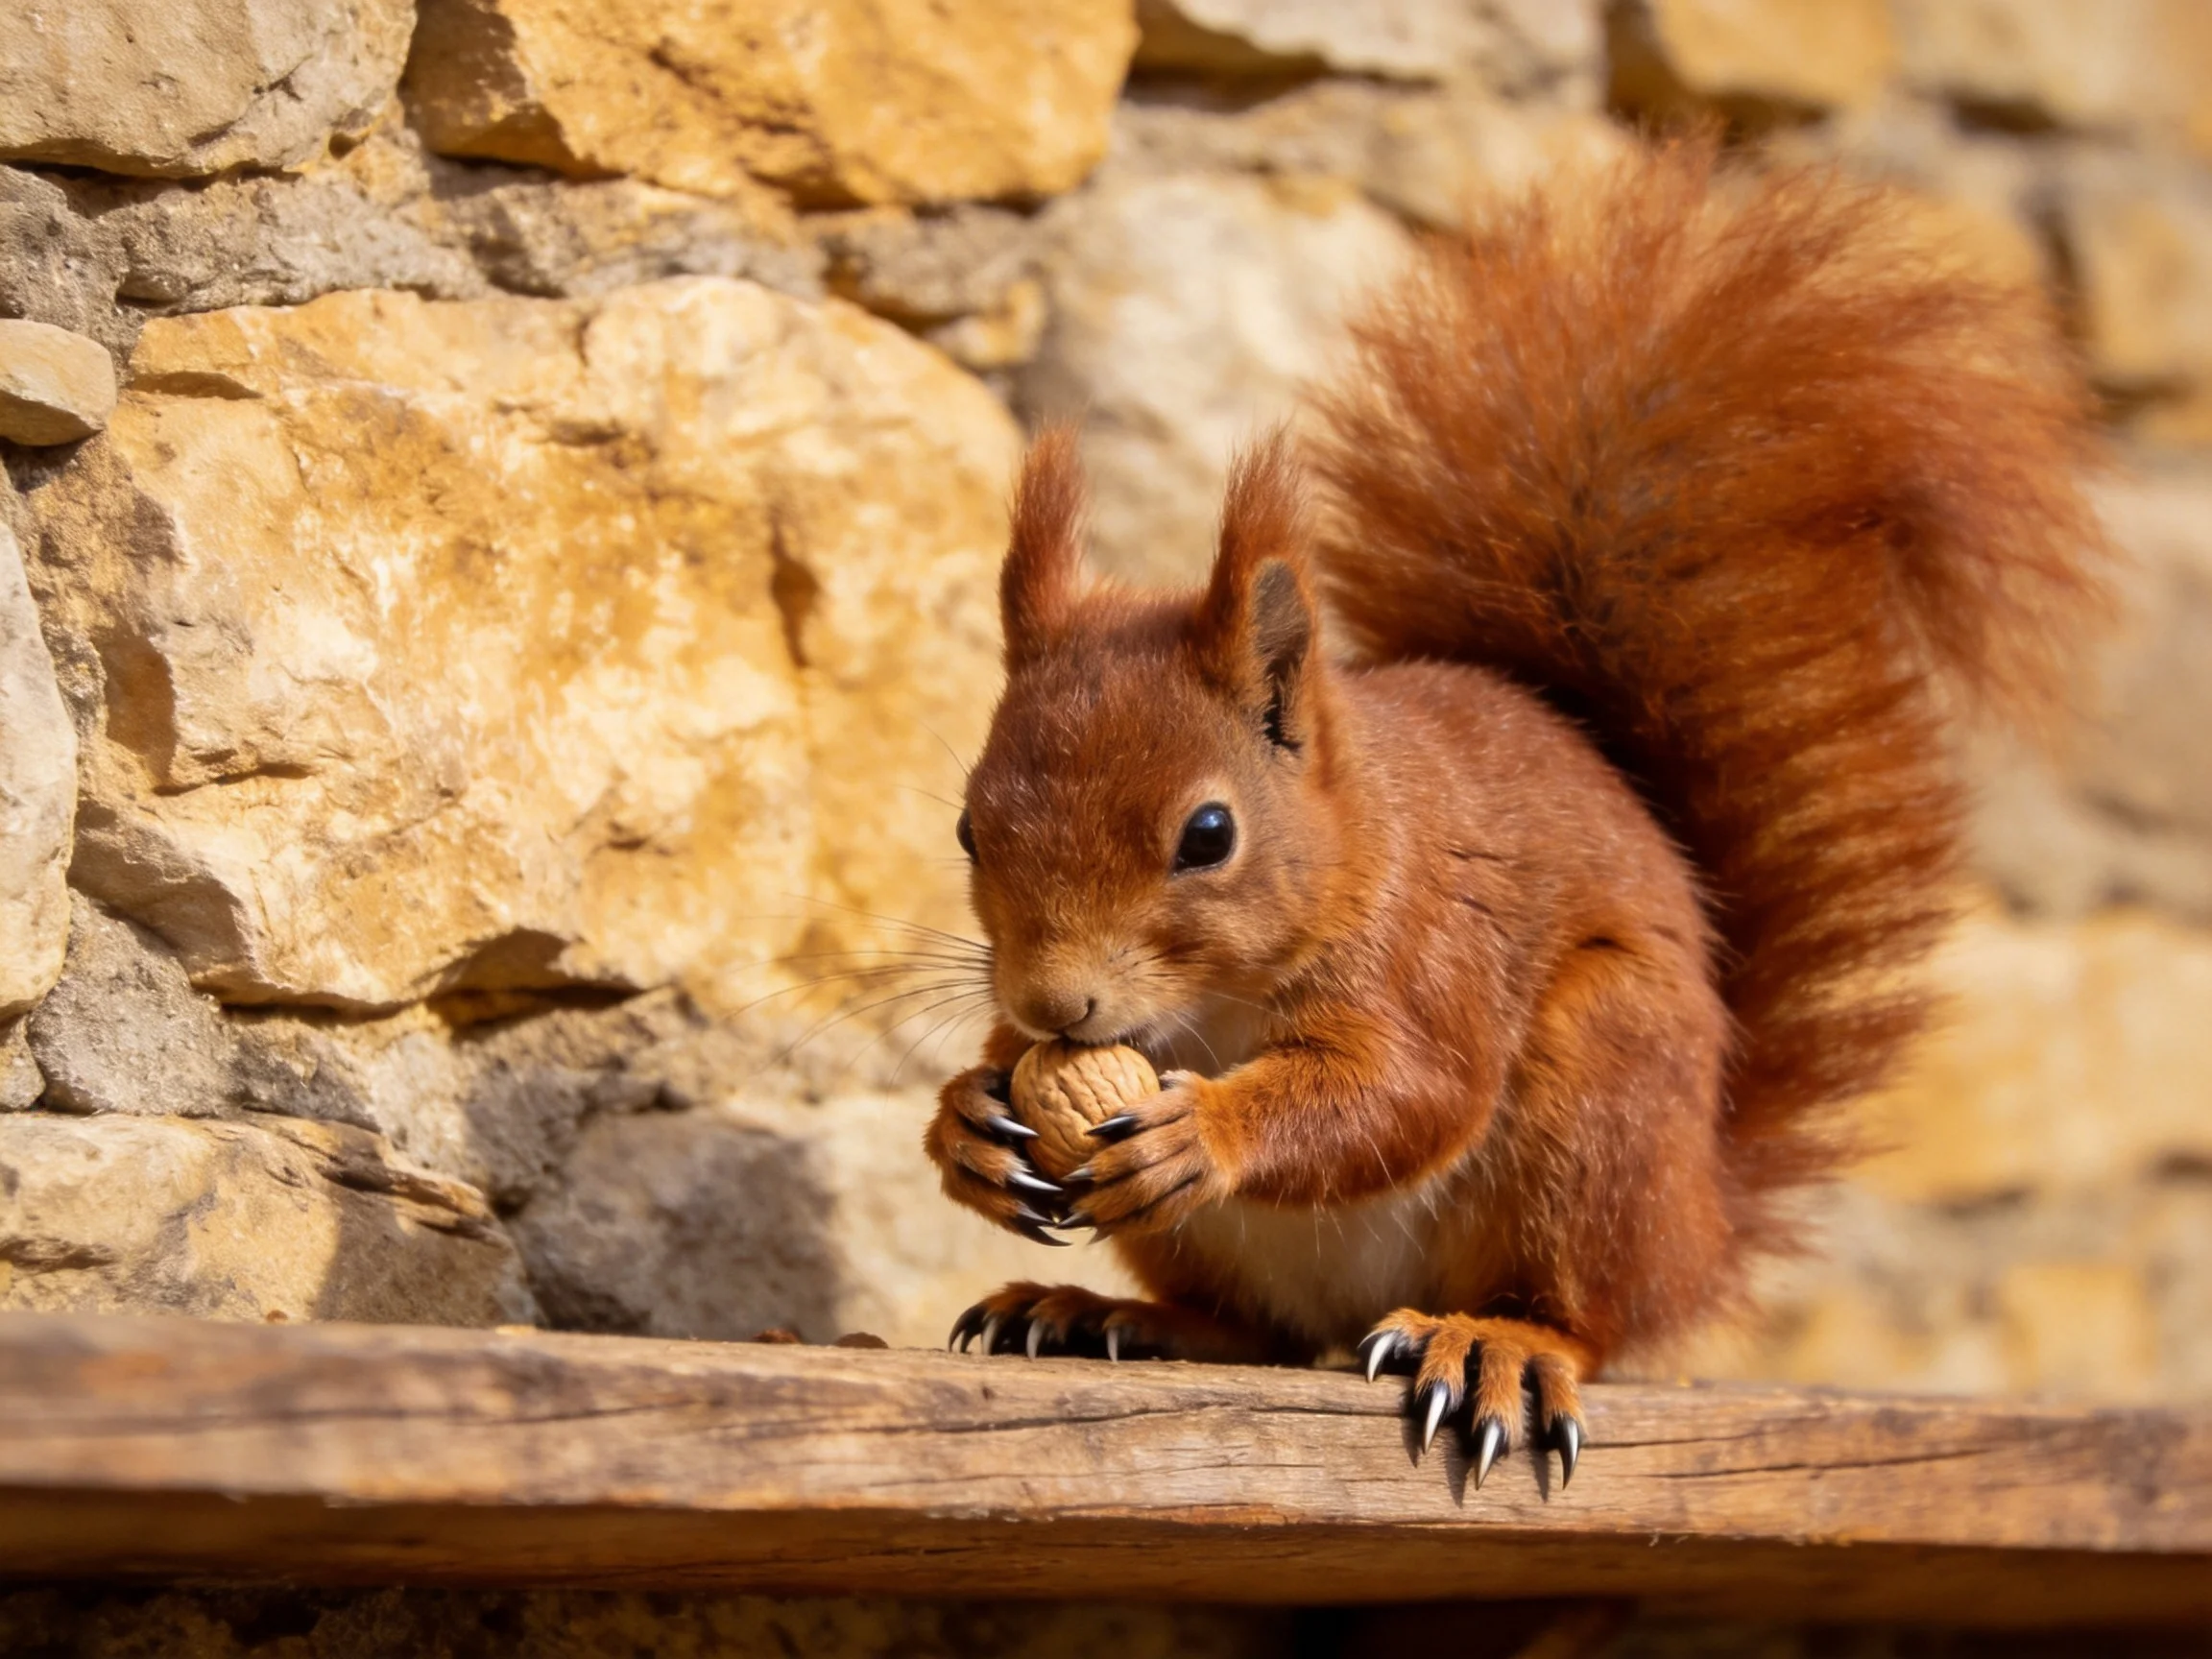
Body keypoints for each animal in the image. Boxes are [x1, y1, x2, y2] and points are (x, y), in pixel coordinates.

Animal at [923, 135, 2109, 1486]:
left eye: (1207, 836)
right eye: (968, 828)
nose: (1053, 1005)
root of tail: (1698, 1226)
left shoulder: (1431, 953)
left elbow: (1410, 1093)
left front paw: (1205, 1130)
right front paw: (968, 1116)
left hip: (1597, 1099)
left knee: (1574, 1311)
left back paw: (1499, 1344)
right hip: (1222, 1246)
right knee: (1252, 1333)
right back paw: (1098, 1313)